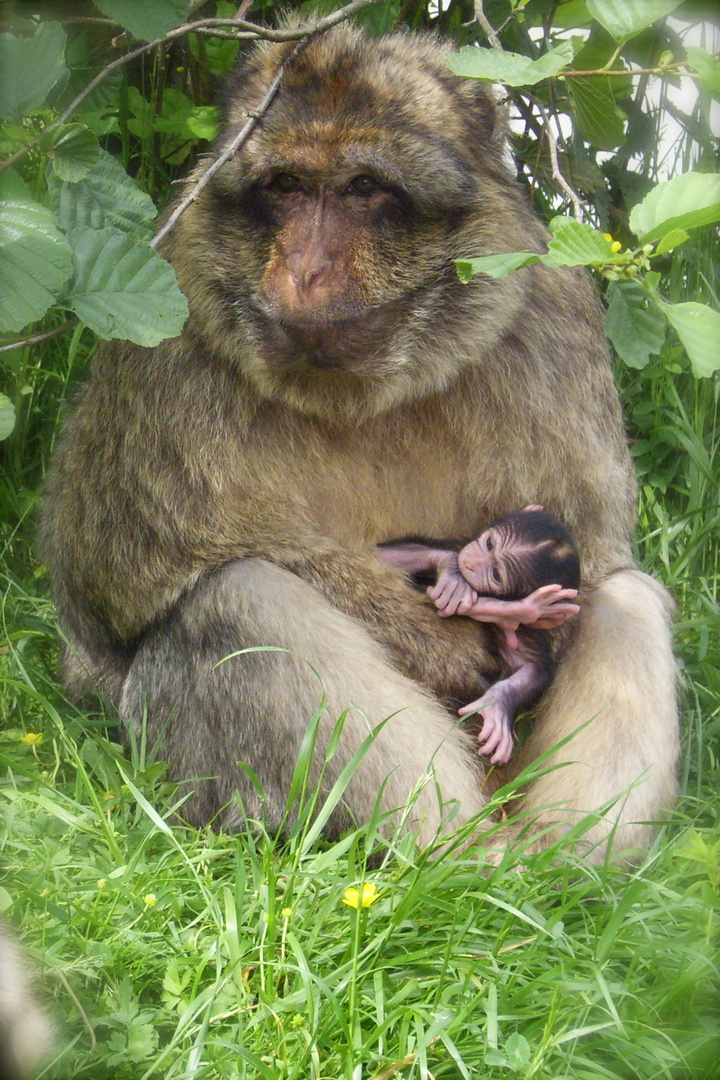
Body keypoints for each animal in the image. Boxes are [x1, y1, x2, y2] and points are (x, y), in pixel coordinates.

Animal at [379, 509, 582, 764]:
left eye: (496, 574)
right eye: (489, 544)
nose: (471, 563)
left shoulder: (524, 632)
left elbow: (531, 667)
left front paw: (497, 705)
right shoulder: (456, 544)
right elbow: (383, 552)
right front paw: (454, 576)